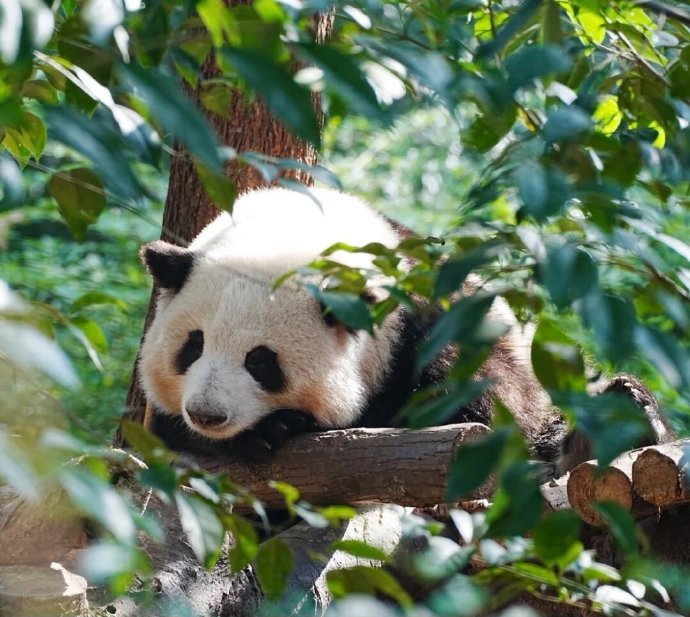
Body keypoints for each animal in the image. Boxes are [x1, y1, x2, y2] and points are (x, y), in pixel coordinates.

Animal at [136, 185, 652, 470]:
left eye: (261, 361)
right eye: (193, 346)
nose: (207, 414)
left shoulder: (436, 313)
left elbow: (484, 405)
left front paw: (284, 423)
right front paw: (259, 432)